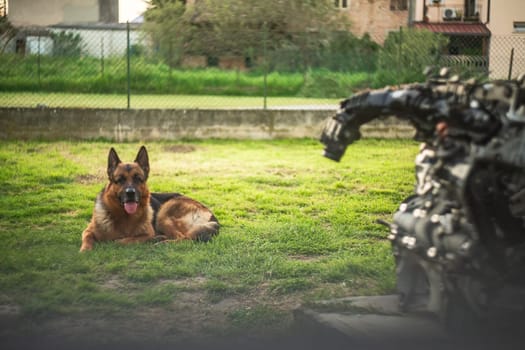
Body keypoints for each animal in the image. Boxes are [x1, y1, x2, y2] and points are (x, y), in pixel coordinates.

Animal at [79, 146, 218, 252]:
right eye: (120, 180)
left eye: (138, 178)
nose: (130, 193)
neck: (123, 217)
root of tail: (211, 215)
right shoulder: (88, 230)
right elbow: (87, 238)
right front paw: (85, 250)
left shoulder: (147, 233)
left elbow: (122, 241)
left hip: (165, 212)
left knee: (184, 239)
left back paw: (161, 242)